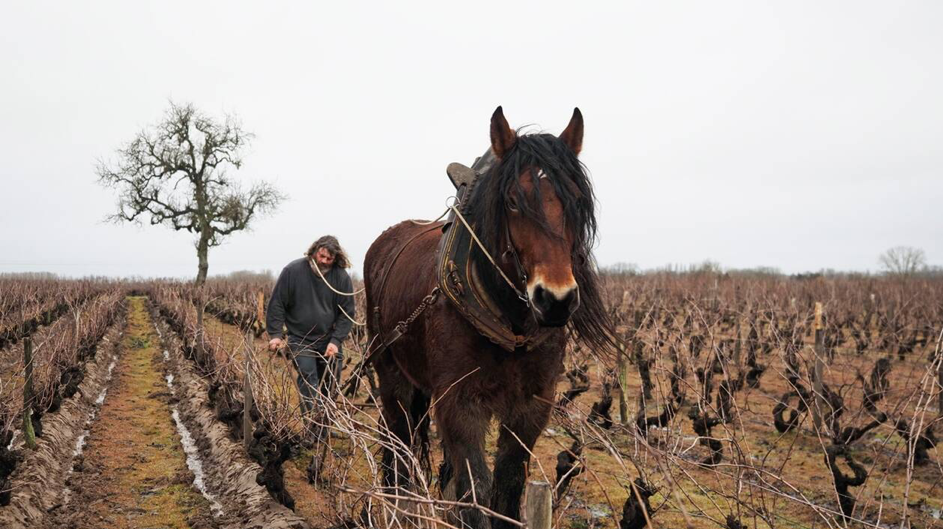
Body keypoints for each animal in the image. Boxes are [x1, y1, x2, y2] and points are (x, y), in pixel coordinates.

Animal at [362, 107, 612, 528]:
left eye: (577, 200)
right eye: (511, 201)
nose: (556, 300)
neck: (510, 324)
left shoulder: (532, 406)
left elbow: (506, 488)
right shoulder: (460, 404)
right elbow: (476, 491)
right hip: (390, 371)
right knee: (398, 443)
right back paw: (399, 505)